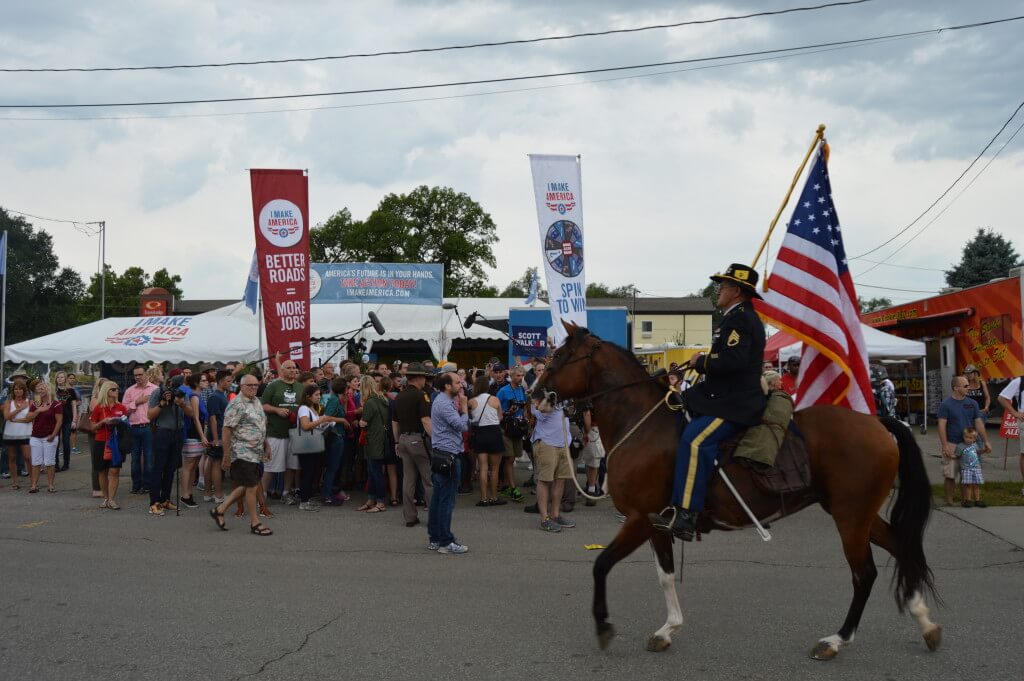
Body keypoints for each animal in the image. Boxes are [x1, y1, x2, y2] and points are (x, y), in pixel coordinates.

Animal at [532, 323, 937, 659]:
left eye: (560, 356)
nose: (535, 394)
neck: (642, 425)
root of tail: (879, 423)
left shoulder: (638, 519)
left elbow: (601, 565)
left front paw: (603, 625)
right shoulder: (657, 523)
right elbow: (665, 575)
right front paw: (667, 630)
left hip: (850, 517)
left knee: (864, 574)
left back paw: (836, 640)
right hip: (859, 514)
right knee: (902, 547)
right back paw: (926, 623)